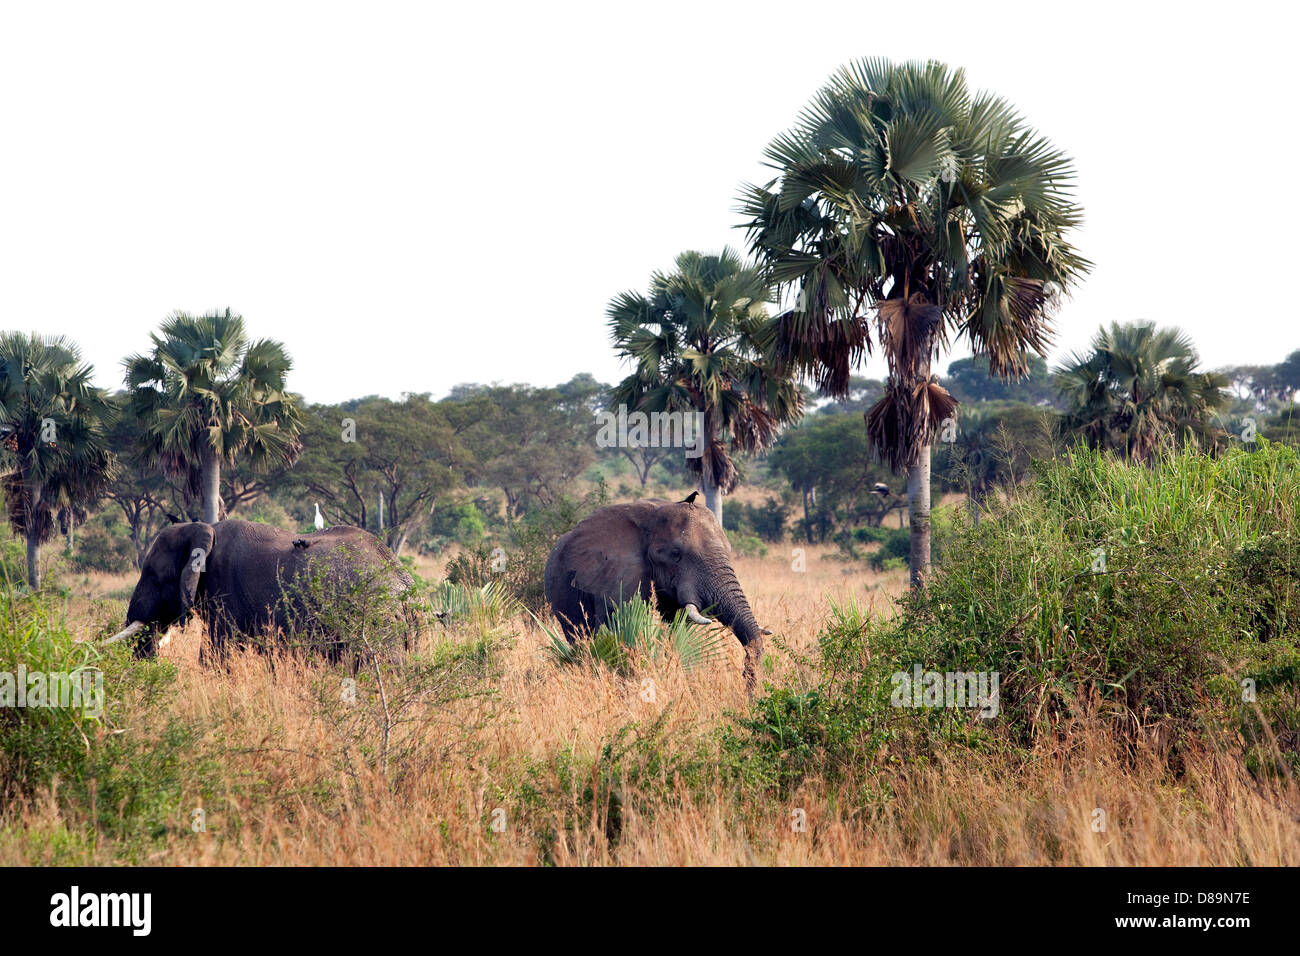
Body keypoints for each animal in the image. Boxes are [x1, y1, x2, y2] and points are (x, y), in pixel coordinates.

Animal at [107, 520, 413, 660]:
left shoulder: (225, 590)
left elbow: (217, 654)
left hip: (378, 620)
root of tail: (403, 579)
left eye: (154, 575)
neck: (203, 529)